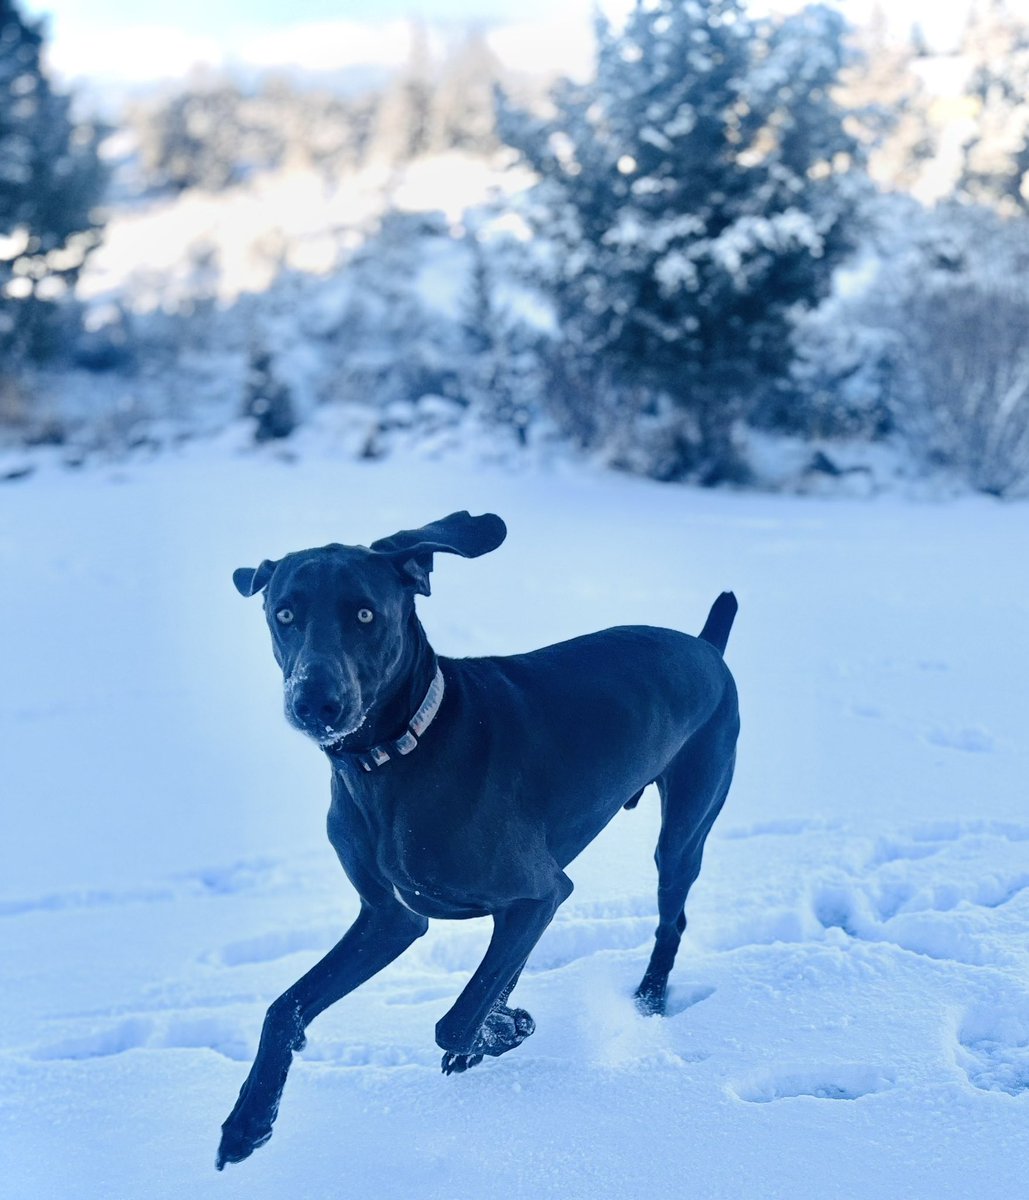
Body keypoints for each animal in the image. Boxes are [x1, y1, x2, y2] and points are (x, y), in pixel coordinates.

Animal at [214, 511, 738, 1166]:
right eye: (284, 614)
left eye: (365, 614)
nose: (315, 704)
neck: (392, 761)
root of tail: (706, 645)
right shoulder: (390, 918)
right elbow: (283, 1007)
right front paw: (248, 1119)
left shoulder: (540, 891)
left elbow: (455, 1018)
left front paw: (506, 1029)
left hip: (687, 822)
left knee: (672, 916)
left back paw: (646, 1000)